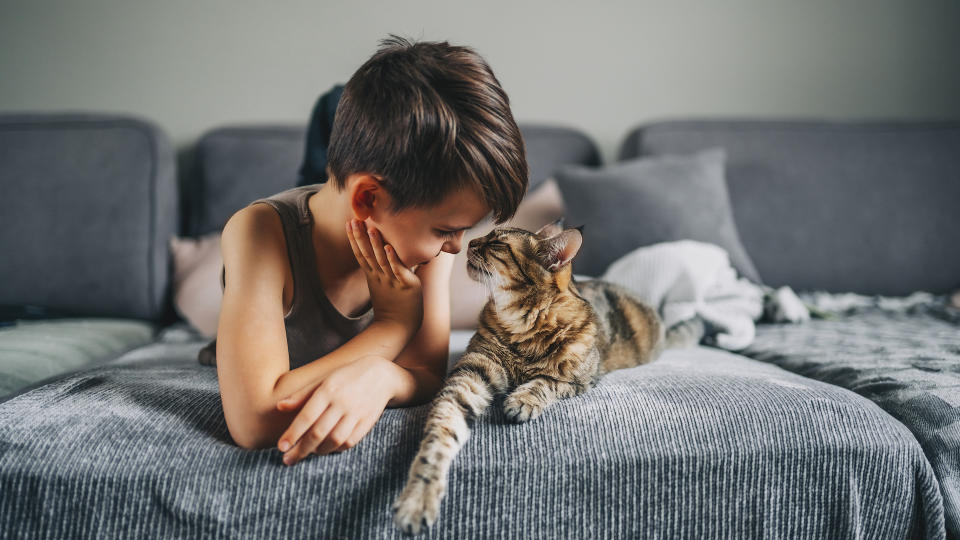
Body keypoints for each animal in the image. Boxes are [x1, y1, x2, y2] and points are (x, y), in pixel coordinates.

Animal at [390, 217, 704, 532]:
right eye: (487, 234)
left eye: (498, 243)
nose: (471, 242)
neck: (522, 325)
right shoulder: (473, 371)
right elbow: (441, 432)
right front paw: (418, 496)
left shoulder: (579, 379)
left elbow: (545, 382)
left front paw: (522, 400)